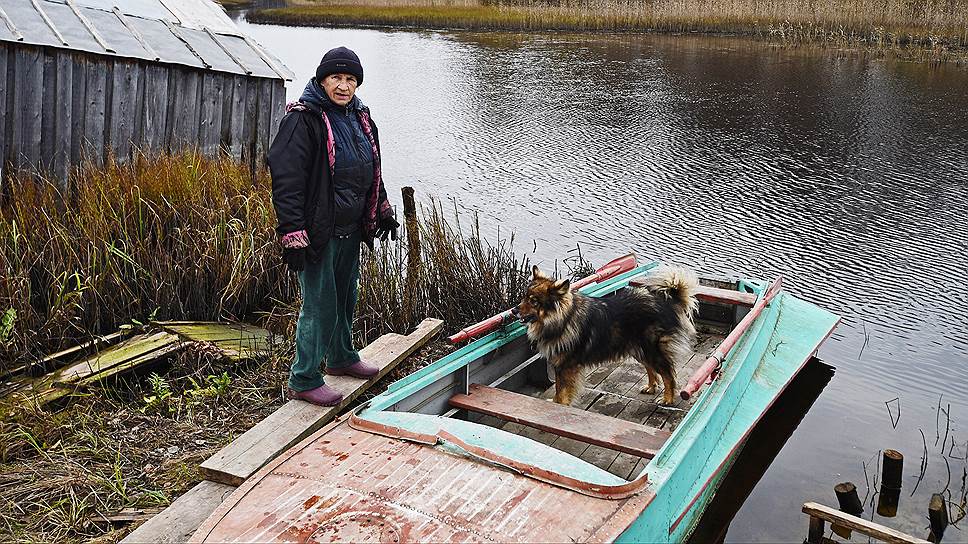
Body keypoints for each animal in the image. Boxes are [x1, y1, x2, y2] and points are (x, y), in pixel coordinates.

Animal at [516, 266, 696, 406]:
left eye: (534, 301)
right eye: (524, 297)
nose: (514, 310)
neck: (562, 320)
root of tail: (667, 301)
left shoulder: (566, 366)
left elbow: (562, 391)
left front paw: (559, 405)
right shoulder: (560, 365)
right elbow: (560, 388)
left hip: (651, 349)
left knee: (668, 374)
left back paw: (667, 399)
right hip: (639, 348)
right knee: (651, 369)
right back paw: (651, 387)